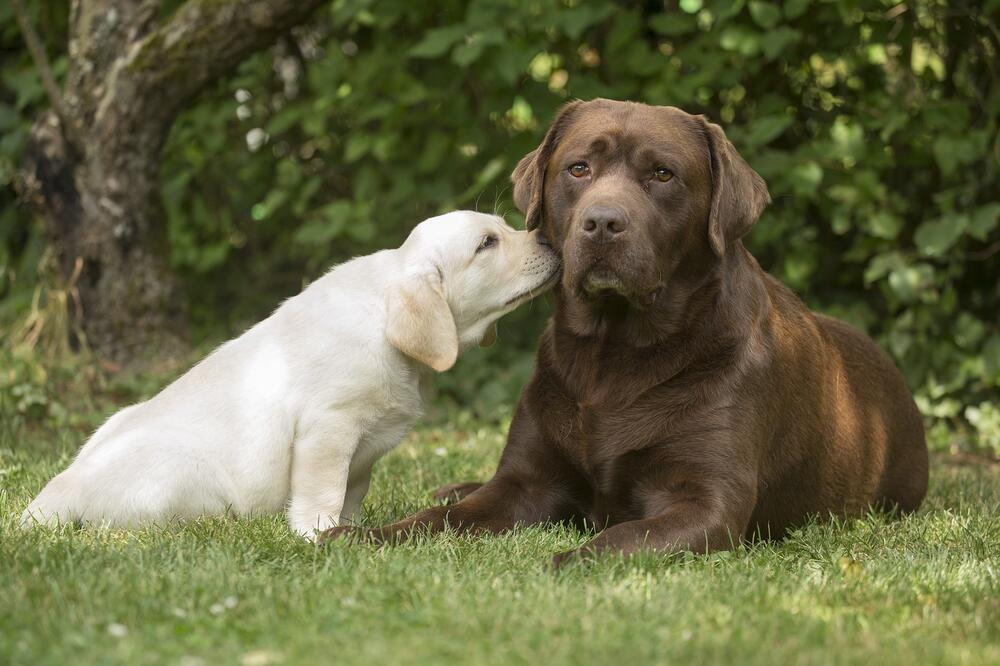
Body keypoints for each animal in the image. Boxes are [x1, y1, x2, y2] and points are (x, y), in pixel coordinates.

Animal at [21, 210, 564, 536]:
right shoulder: (328, 428)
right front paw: (317, 535)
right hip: (184, 478)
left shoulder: (362, 453)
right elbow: (324, 490)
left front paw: (348, 529)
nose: (549, 236)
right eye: (487, 243)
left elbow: (353, 491)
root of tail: (54, 495)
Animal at [326, 100, 928, 564]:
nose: (602, 222)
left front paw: (563, 560)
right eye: (578, 169)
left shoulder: (707, 502)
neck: (611, 354)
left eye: (662, 174)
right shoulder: (526, 480)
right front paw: (362, 536)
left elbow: (620, 538)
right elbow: (437, 519)